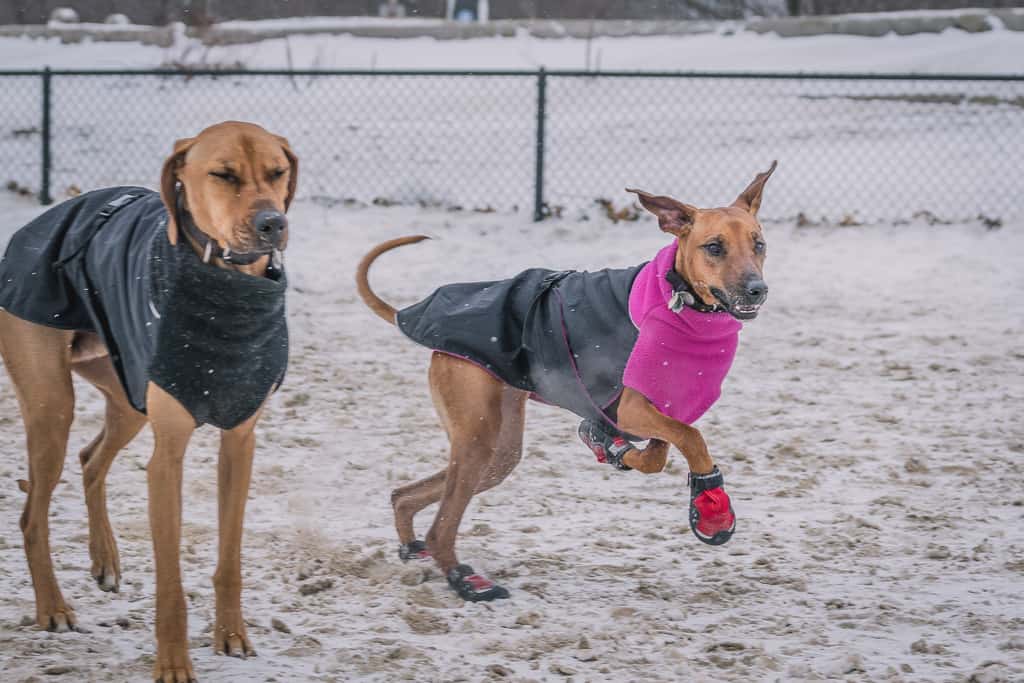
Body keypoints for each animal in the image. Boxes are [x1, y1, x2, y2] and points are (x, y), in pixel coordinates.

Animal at [1, 120, 296, 679]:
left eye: (277, 172)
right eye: (223, 175)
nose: (273, 223)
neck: (226, 286)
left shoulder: (240, 442)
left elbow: (230, 559)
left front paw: (231, 635)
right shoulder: (168, 458)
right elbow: (170, 582)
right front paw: (174, 662)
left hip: (126, 389)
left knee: (90, 458)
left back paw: (105, 561)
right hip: (52, 404)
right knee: (32, 514)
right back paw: (52, 608)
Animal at [358, 162, 774, 602]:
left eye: (759, 244)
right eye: (714, 247)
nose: (757, 290)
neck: (681, 302)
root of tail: (414, 316)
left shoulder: (662, 407)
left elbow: (657, 452)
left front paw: (610, 446)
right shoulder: (634, 407)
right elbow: (692, 439)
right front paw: (714, 508)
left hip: (498, 449)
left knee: (406, 495)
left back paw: (412, 542)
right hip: (476, 435)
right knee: (442, 526)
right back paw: (465, 580)